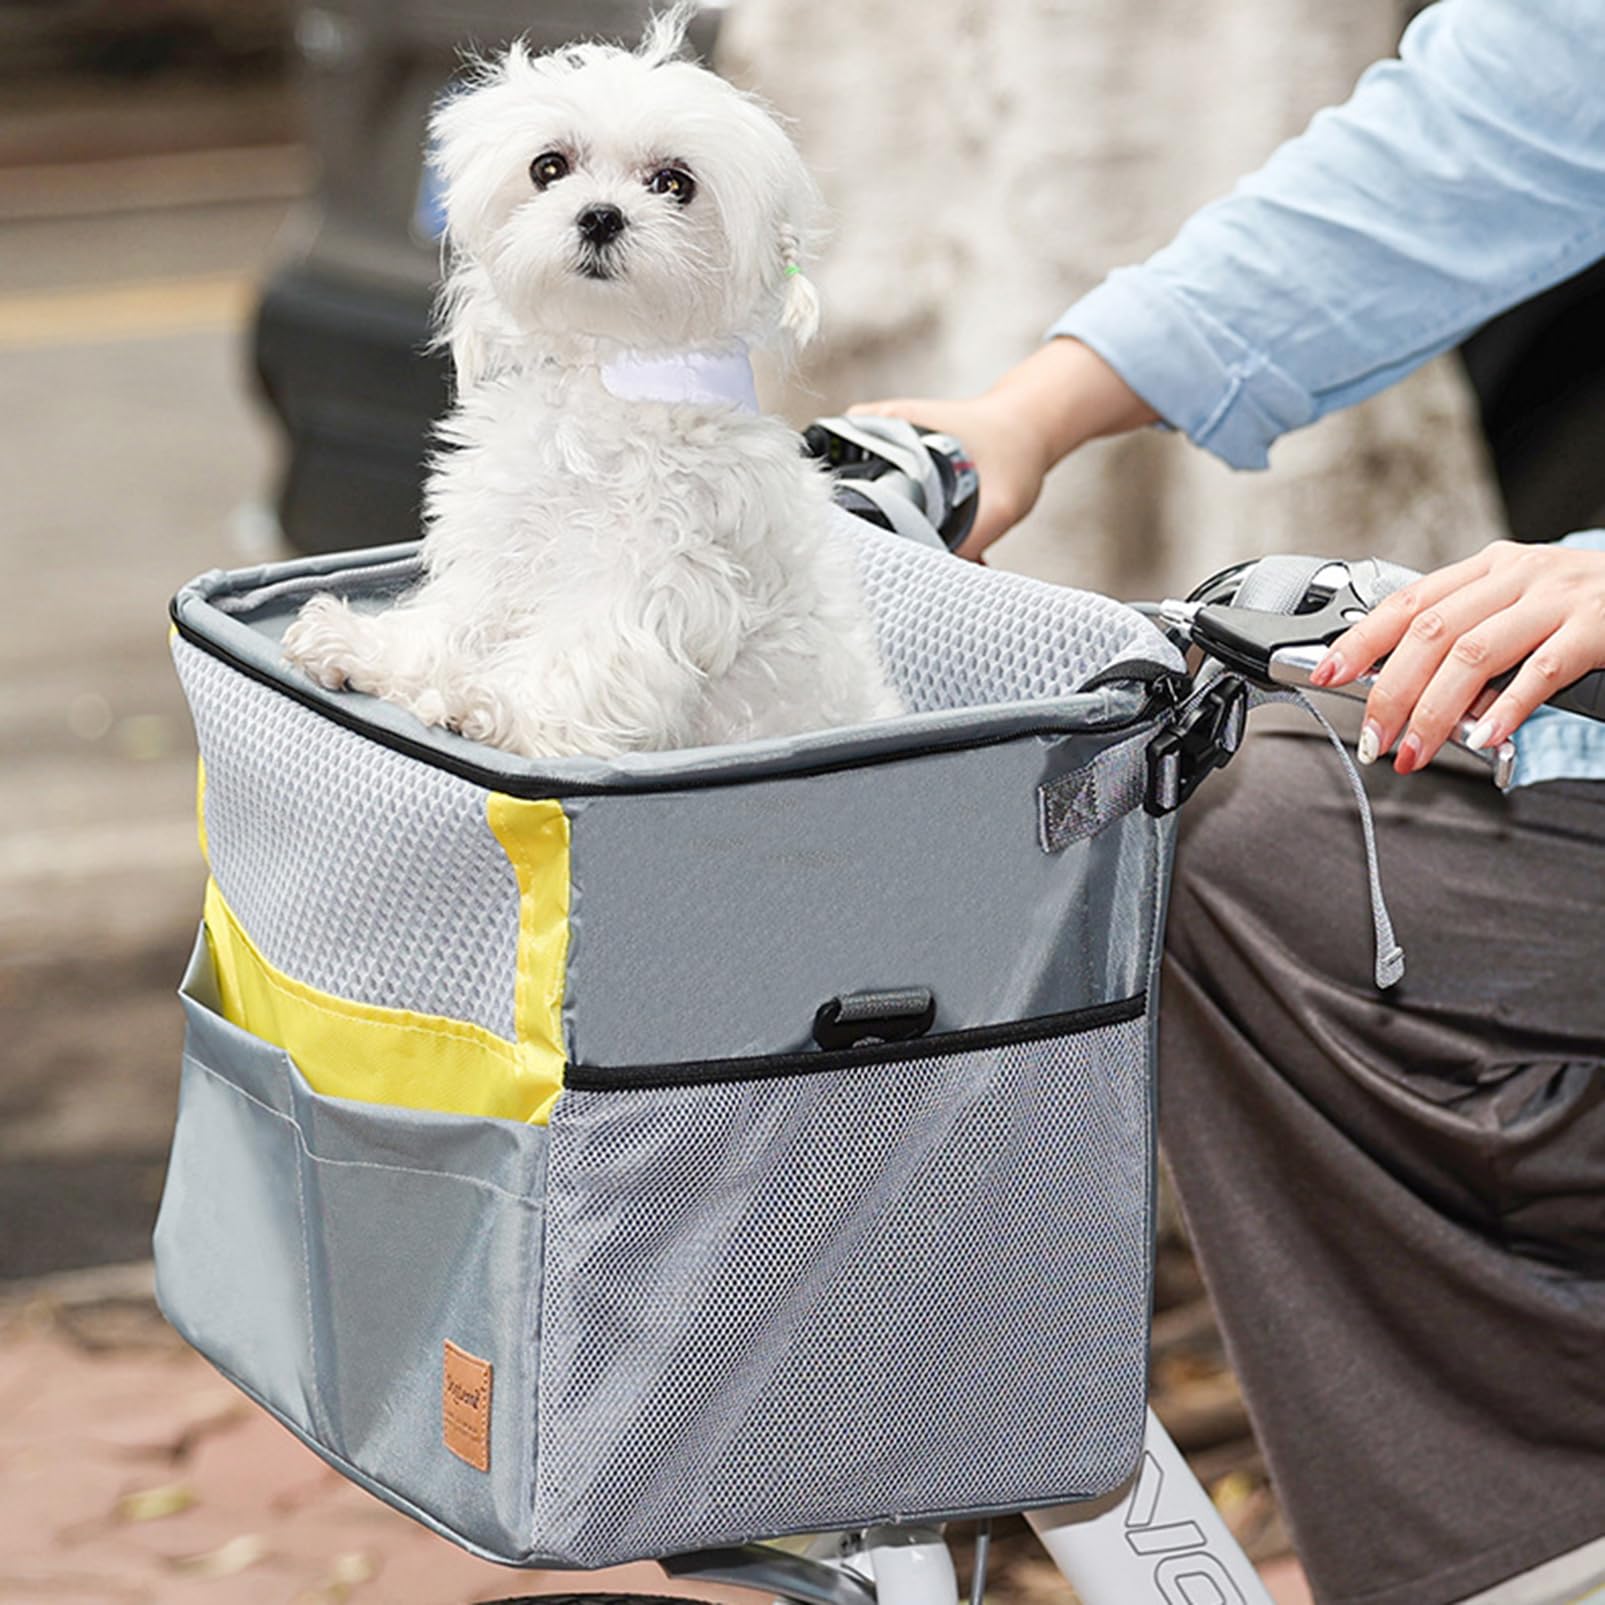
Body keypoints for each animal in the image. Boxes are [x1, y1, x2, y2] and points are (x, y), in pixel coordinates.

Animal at [279, 7, 905, 757]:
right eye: (549, 167)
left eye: (674, 183)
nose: (601, 215)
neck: (601, 376)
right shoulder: (502, 542)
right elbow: (453, 617)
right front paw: (369, 649)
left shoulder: (651, 574)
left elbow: (583, 651)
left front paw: (497, 707)